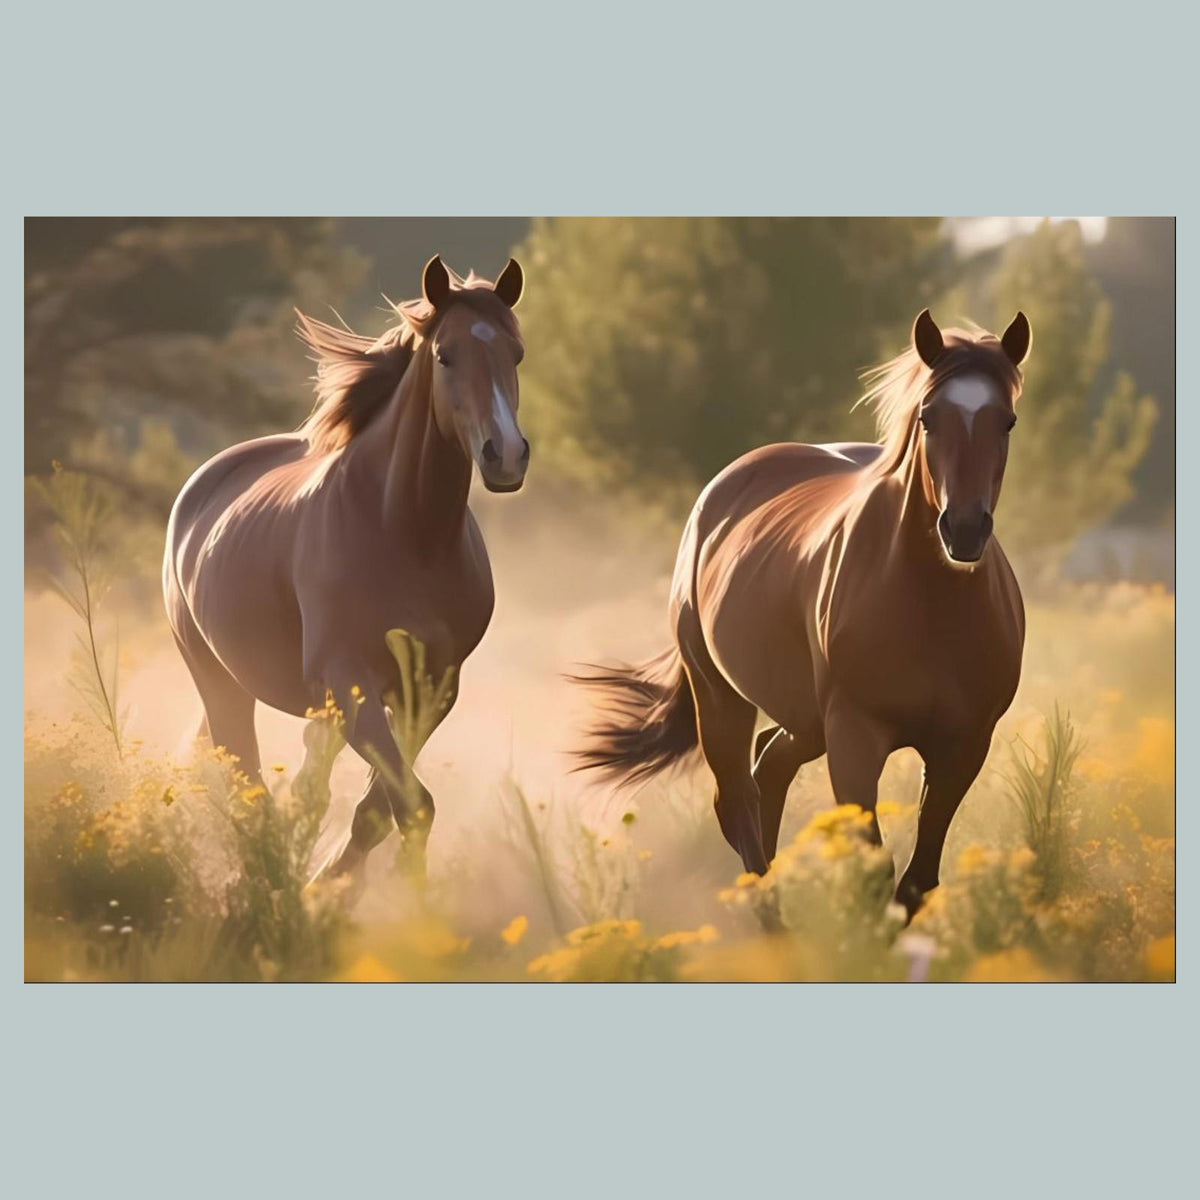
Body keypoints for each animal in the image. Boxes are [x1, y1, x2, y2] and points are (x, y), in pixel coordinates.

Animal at [163, 254, 529, 878]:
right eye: (445, 355)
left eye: (517, 353)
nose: (505, 454)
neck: (405, 533)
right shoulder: (350, 682)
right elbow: (411, 805)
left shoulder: (430, 690)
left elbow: (381, 810)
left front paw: (330, 886)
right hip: (220, 682)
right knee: (249, 786)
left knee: (305, 786)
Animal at [575, 308, 1032, 919]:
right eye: (928, 419)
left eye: (1006, 421)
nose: (962, 530)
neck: (932, 607)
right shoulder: (855, 737)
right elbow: (874, 867)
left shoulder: (964, 747)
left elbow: (918, 879)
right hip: (721, 695)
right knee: (737, 799)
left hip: (805, 720)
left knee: (770, 766)